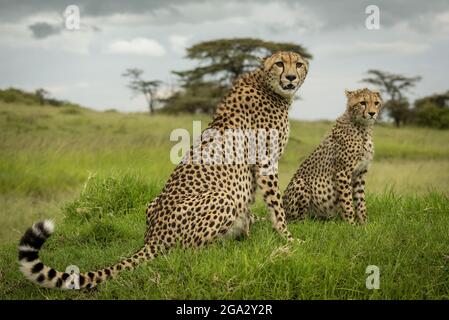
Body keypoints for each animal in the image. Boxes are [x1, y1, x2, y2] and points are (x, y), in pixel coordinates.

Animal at [19, 51, 310, 288]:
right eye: (280, 63)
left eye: (299, 64)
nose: (291, 77)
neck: (267, 85)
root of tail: (152, 237)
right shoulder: (266, 161)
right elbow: (276, 207)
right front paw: (288, 238)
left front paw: (261, 231)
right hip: (222, 198)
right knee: (187, 252)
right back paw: (226, 248)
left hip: (154, 203)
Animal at [284, 88, 382, 225]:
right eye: (362, 102)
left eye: (376, 103)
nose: (372, 113)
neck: (363, 128)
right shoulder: (343, 173)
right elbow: (347, 203)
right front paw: (351, 224)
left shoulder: (360, 173)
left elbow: (361, 202)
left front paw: (364, 224)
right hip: (300, 183)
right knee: (297, 221)